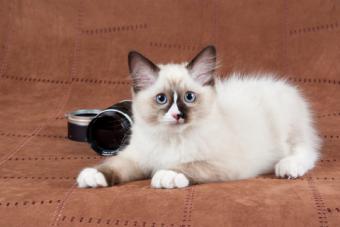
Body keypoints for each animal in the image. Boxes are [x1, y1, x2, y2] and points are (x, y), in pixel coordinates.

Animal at [75, 45, 320, 189]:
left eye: (189, 97)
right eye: (162, 99)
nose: (177, 115)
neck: (171, 140)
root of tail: (280, 85)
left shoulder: (223, 164)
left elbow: (188, 166)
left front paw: (165, 175)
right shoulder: (136, 158)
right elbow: (113, 165)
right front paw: (92, 176)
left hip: (289, 130)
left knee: (307, 151)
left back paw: (287, 168)